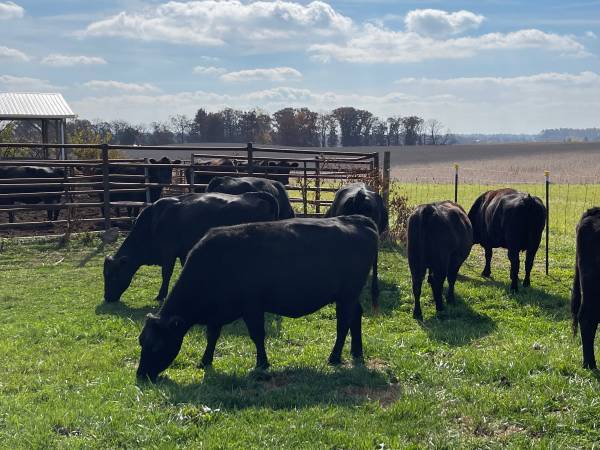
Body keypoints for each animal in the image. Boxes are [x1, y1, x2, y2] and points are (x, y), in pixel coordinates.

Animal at [104, 192, 280, 304]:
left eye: (112, 276)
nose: (106, 298)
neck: (153, 222)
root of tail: (255, 195)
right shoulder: (183, 252)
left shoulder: (168, 251)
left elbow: (166, 273)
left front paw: (161, 295)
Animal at [138, 214, 378, 380]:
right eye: (141, 342)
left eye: (157, 345)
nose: (140, 375)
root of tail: (358, 220)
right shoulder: (217, 312)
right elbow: (212, 336)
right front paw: (205, 361)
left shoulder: (252, 307)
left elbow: (257, 335)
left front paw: (262, 363)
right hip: (349, 295)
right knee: (356, 316)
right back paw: (357, 352)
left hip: (346, 294)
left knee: (343, 323)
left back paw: (335, 357)